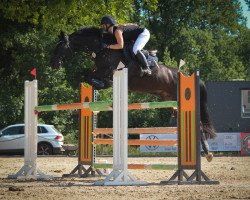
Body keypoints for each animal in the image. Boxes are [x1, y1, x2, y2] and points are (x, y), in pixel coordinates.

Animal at [50, 26, 215, 161]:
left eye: (61, 47)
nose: (53, 65)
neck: (103, 49)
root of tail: (184, 74)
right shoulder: (99, 71)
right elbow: (88, 77)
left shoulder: (109, 71)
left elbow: (92, 77)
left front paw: (104, 84)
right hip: (170, 98)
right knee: (182, 114)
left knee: (200, 126)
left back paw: (207, 153)